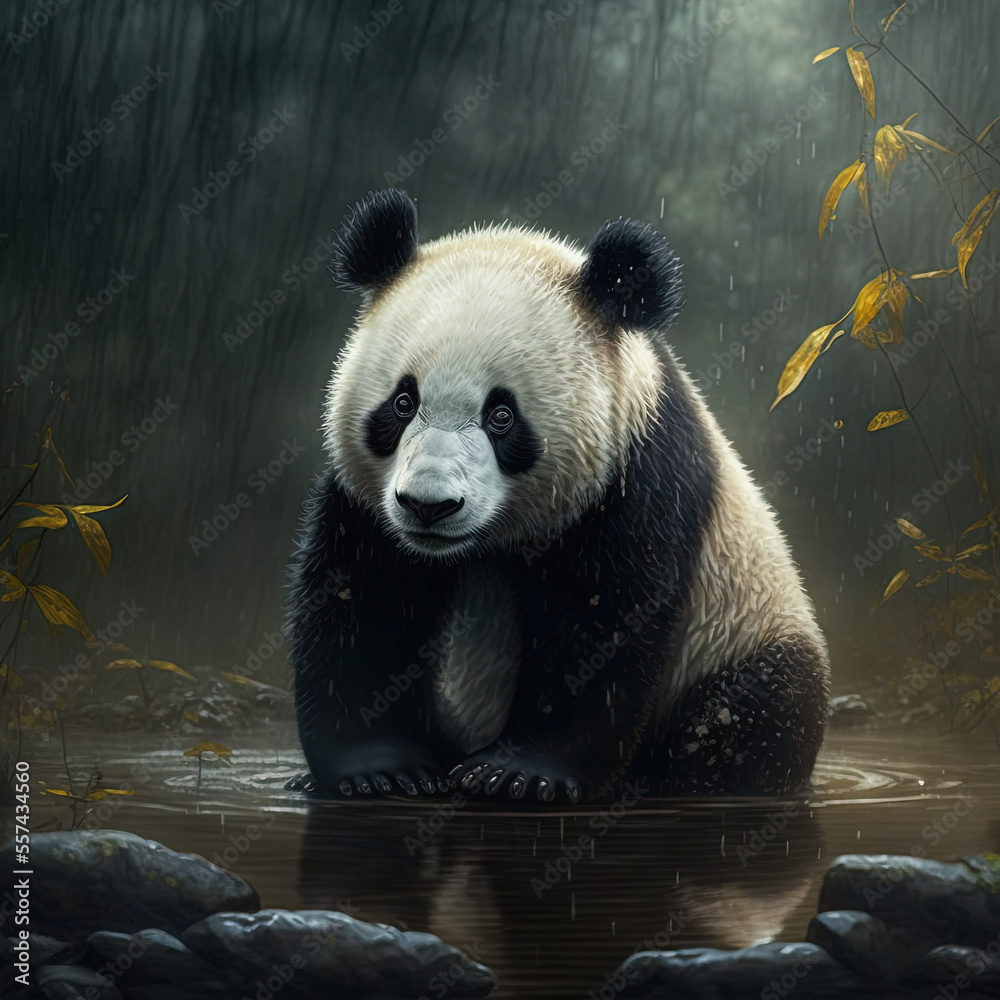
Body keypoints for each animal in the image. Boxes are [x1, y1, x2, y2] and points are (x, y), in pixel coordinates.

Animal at [286, 188, 829, 804]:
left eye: (501, 416)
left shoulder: (636, 476)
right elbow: (362, 604)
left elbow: (599, 624)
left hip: (745, 627)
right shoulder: (365, 505)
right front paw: (378, 768)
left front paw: (519, 772)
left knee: (757, 709)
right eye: (403, 403)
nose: (428, 505)